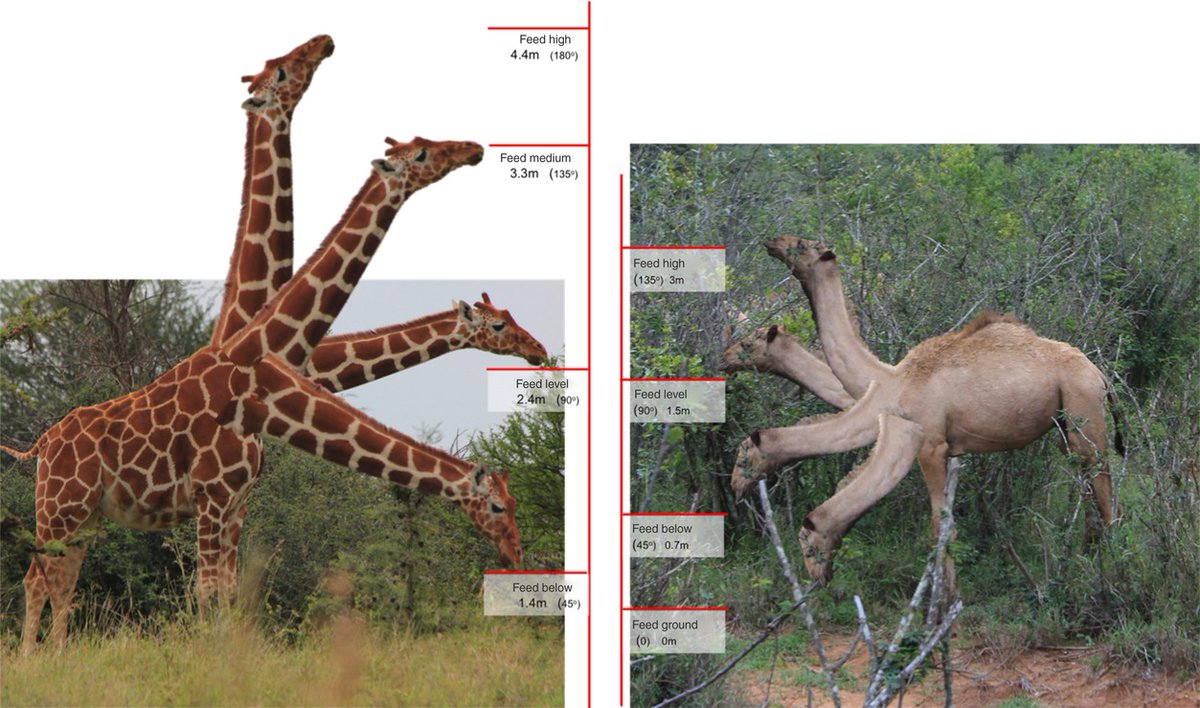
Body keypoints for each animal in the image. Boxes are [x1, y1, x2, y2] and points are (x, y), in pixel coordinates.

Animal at [3, 136, 500, 654]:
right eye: (421, 154)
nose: (472, 150)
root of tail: (42, 444)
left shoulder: (237, 499)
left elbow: (229, 584)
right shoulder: (212, 494)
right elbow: (206, 586)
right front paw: (212, 655)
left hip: (86, 516)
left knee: (63, 577)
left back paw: (56, 653)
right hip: (60, 508)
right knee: (39, 578)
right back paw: (34, 658)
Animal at [731, 236, 1123, 585]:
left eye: (803, 246)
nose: (736, 486)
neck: (888, 382)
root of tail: (1099, 375)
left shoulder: (930, 444)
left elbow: (940, 528)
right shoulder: (944, 448)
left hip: (1085, 414)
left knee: (1104, 492)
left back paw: (1104, 572)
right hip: (1065, 428)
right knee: (1091, 493)